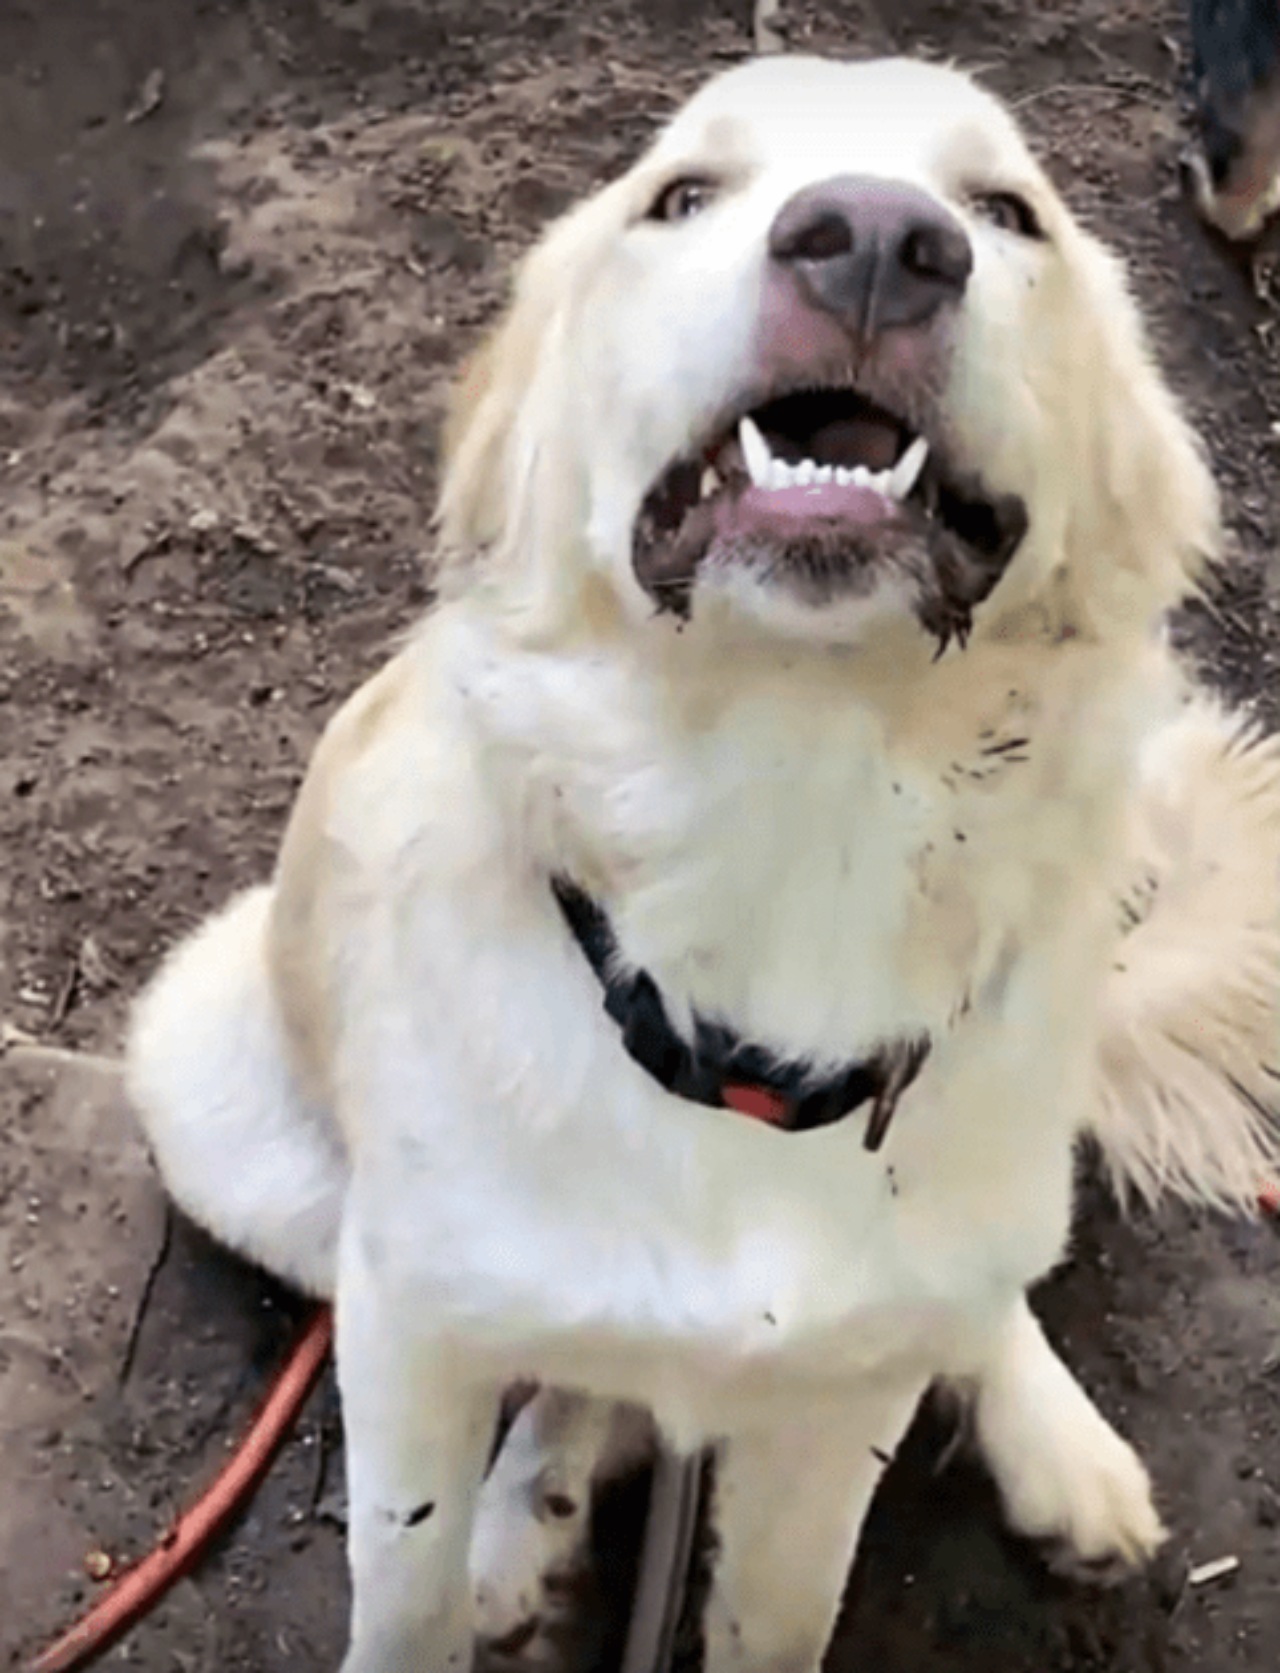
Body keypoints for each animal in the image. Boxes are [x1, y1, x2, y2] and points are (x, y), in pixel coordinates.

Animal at [124, 52, 1278, 1673]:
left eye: (1006, 211)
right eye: (681, 196)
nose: (876, 243)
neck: (789, 812)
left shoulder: (838, 1407)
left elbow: (781, 1606)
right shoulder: (407, 1329)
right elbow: (406, 1590)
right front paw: (485, 1544)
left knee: (972, 1299)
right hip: (219, 1100)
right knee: (576, 1383)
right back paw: (524, 1524)